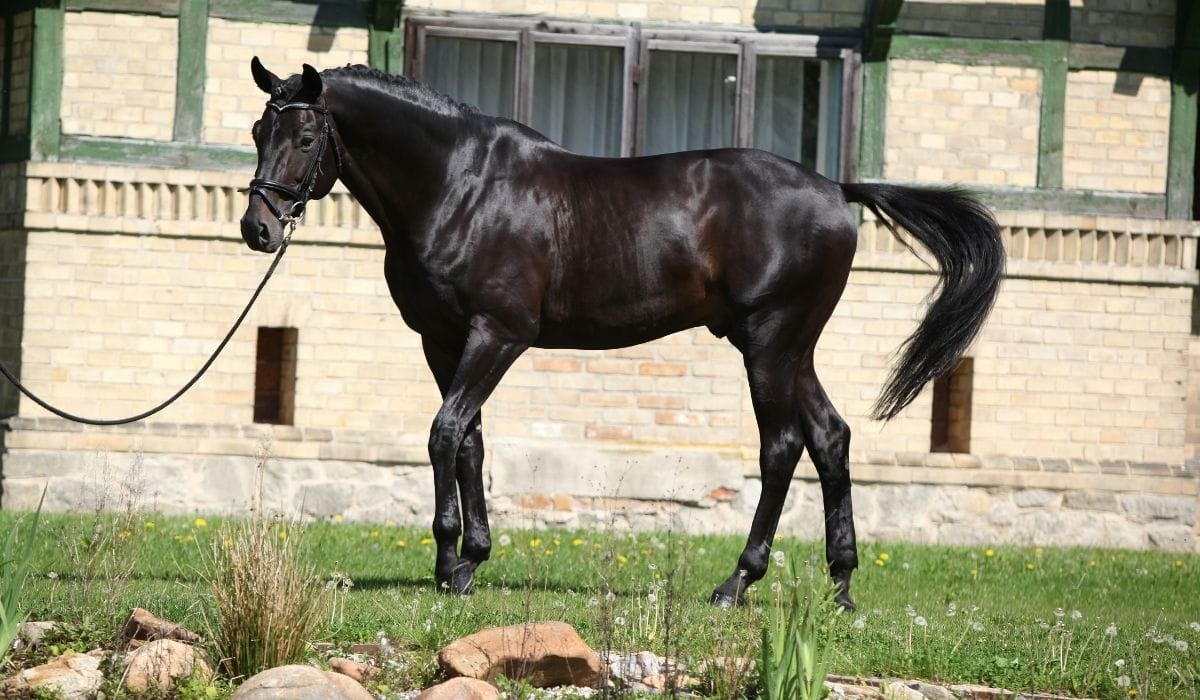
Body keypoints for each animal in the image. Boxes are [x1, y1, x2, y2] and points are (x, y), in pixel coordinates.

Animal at [239, 58, 1005, 609]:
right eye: (255, 132)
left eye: (303, 137)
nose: (257, 229)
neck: (463, 188)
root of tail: (836, 190)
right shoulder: (443, 340)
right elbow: (469, 440)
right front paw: (469, 560)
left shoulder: (498, 335)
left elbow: (445, 432)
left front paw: (452, 560)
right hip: (793, 349)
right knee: (831, 437)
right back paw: (840, 586)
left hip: (770, 343)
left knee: (783, 447)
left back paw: (736, 582)